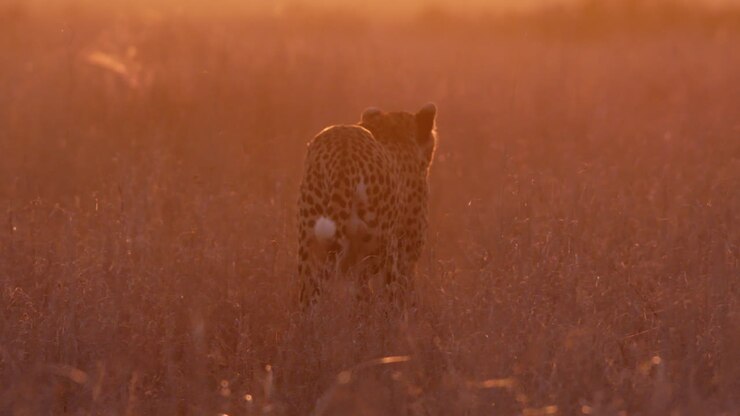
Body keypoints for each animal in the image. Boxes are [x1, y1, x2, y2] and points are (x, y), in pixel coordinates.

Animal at [297, 103, 438, 306]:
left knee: (307, 299)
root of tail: (344, 150)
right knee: (384, 295)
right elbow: (404, 292)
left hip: (310, 249)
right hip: (381, 249)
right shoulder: (407, 256)